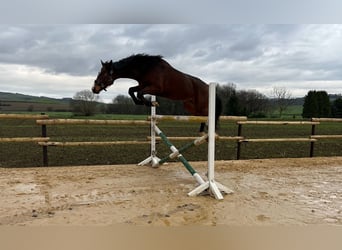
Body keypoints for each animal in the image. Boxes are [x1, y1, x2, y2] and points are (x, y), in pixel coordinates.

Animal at [92, 53, 223, 133]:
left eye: (104, 74)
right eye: (99, 72)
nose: (94, 88)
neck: (146, 68)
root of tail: (207, 87)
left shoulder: (156, 88)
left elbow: (139, 93)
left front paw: (151, 103)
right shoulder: (143, 85)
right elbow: (131, 90)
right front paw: (142, 103)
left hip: (203, 107)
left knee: (210, 116)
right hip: (191, 107)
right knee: (203, 118)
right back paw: (201, 132)